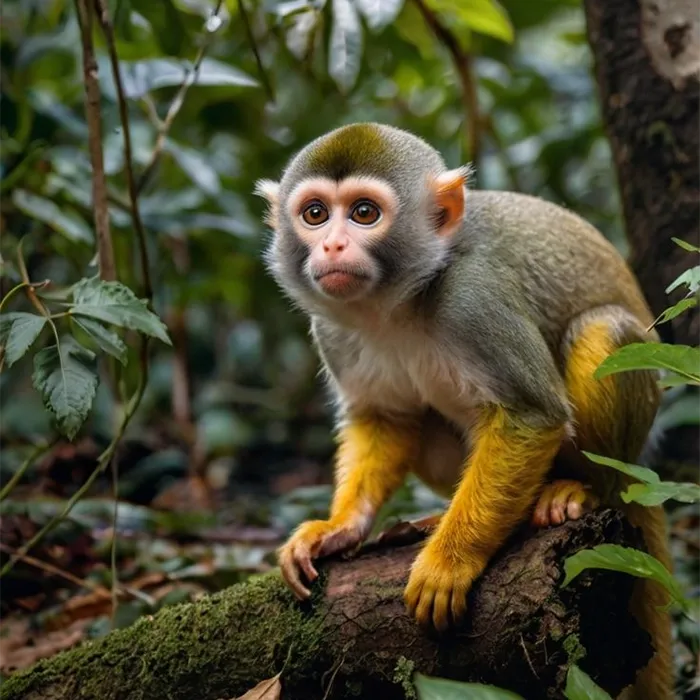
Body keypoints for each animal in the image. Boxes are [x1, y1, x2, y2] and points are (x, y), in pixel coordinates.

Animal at [255, 123, 673, 700]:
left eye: (364, 213)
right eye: (315, 214)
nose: (333, 245)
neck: (398, 303)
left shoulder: (474, 299)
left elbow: (531, 413)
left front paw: (450, 562)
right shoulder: (332, 329)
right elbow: (385, 419)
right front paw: (338, 527)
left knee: (601, 330)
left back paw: (582, 490)